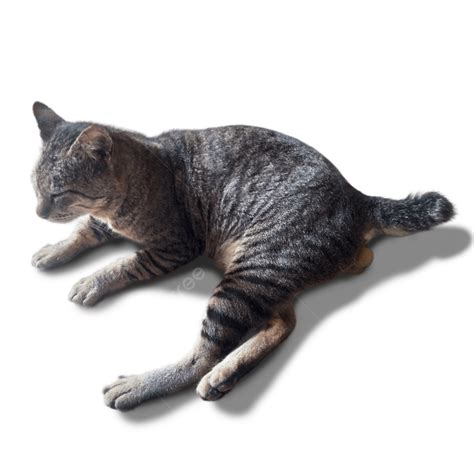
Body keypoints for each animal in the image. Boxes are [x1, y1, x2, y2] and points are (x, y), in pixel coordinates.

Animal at [30, 102, 456, 410]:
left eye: (60, 192)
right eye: (35, 186)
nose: (38, 212)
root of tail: (359, 197)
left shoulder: (175, 247)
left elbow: (124, 262)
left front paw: (92, 279)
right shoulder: (109, 224)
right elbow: (85, 229)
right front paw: (55, 249)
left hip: (251, 271)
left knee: (202, 356)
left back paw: (143, 385)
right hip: (257, 273)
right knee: (284, 324)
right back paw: (226, 376)